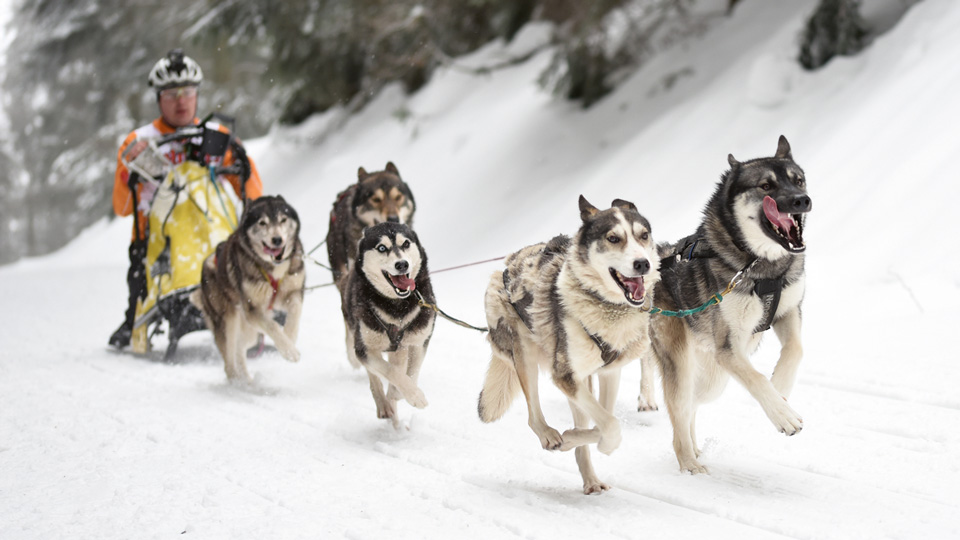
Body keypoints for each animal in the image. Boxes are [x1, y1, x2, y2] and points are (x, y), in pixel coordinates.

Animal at [192, 195, 304, 380]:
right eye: (262, 223)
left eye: (283, 219)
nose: (277, 240)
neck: (272, 267)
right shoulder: (253, 309)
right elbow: (273, 326)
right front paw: (289, 351)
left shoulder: (294, 292)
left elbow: (294, 313)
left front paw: (289, 339)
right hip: (229, 322)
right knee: (229, 362)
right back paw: (238, 382)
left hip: (249, 330)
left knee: (240, 348)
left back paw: (247, 380)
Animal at [340, 220, 436, 426]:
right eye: (382, 248)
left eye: (406, 244)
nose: (402, 264)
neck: (397, 305)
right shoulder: (365, 349)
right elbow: (391, 372)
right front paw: (413, 395)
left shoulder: (419, 342)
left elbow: (411, 373)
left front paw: (399, 393)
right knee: (375, 377)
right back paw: (384, 406)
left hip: (400, 347)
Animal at [480, 197, 660, 494]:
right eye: (613, 238)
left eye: (643, 235)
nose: (643, 263)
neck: (605, 306)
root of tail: (506, 265)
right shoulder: (565, 375)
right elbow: (611, 424)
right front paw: (600, 444)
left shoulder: (608, 373)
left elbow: (605, 419)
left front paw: (577, 437)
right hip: (526, 353)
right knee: (533, 413)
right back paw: (549, 435)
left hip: (581, 377)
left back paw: (589, 477)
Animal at [648, 135, 812, 472]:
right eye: (766, 186)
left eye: (798, 180)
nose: (802, 200)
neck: (761, 266)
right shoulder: (729, 347)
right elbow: (757, 379)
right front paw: (783, 415)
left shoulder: (789, 312)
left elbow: (795, 350)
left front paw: (781, 389)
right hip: (685, 366)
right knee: (679, 413)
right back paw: (689, 465)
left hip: (713, 378)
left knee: (692, 407)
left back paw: (695, 450)